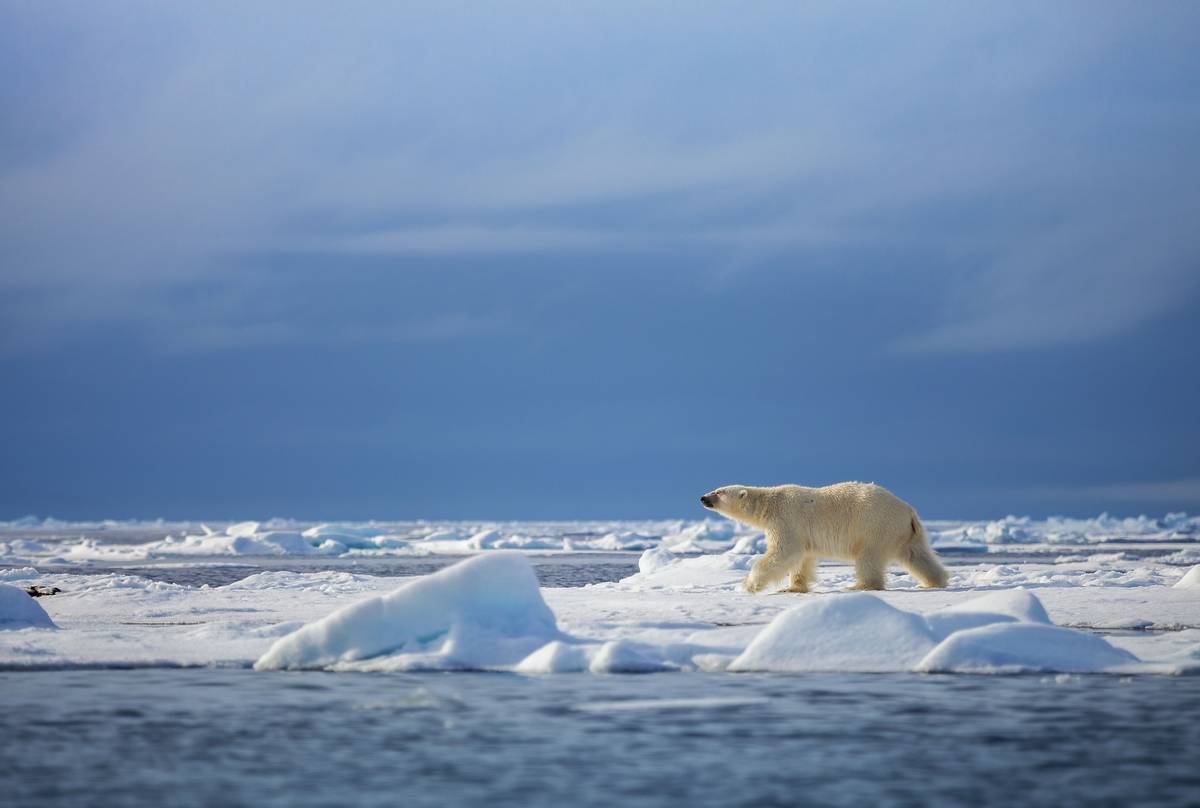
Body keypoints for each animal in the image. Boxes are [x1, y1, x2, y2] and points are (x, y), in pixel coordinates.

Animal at [700, 480, 945, 593]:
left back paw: (860, 586)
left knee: (868, 557)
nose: (702, 497)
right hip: (905, 533)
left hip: (875, 525)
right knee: (917, 555)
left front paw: (749, 585)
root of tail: (909, 511)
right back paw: (933, 581)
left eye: (719, 492)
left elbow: (784, 552)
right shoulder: (801, 532)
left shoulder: (786, 519)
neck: (770, 504)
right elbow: (802, 558)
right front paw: (792, 588)